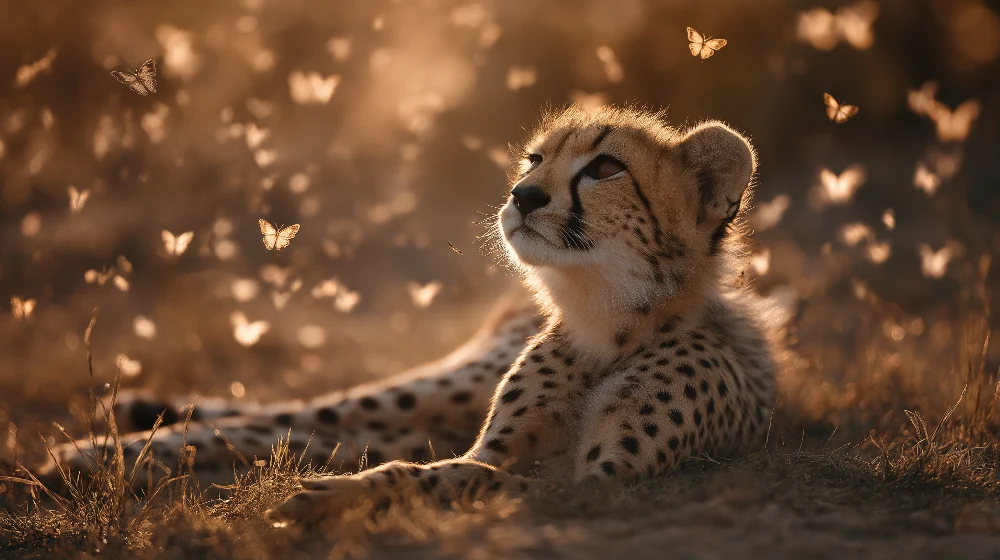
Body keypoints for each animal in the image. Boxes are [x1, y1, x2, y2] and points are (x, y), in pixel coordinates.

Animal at [37, 105, 785, 526]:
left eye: (604, 168)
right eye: (535, 158)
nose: (522, 195)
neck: (610, 320)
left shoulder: (595, 487)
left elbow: (453, 475)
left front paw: (330, 497)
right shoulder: (500, 450)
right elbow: (448, 469)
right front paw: (334, 497)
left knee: (331, 432)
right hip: (444, 387)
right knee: (316, 414)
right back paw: (101, 445)